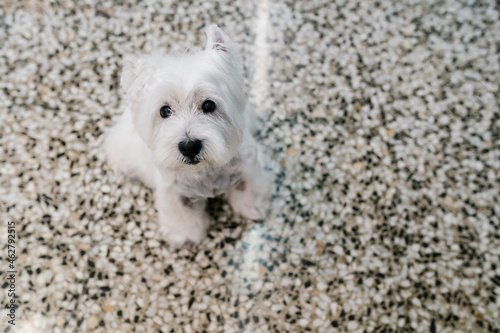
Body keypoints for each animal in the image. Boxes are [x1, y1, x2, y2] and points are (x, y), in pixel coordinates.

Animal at [103, 24, 272, 246]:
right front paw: (186, 236)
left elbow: (250, 191)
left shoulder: (247, 170)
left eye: (209, 105)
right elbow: (182, 218)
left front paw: (253, 208)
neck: (205, 171)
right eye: (164, 111)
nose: (189, 146)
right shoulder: (173, 193)